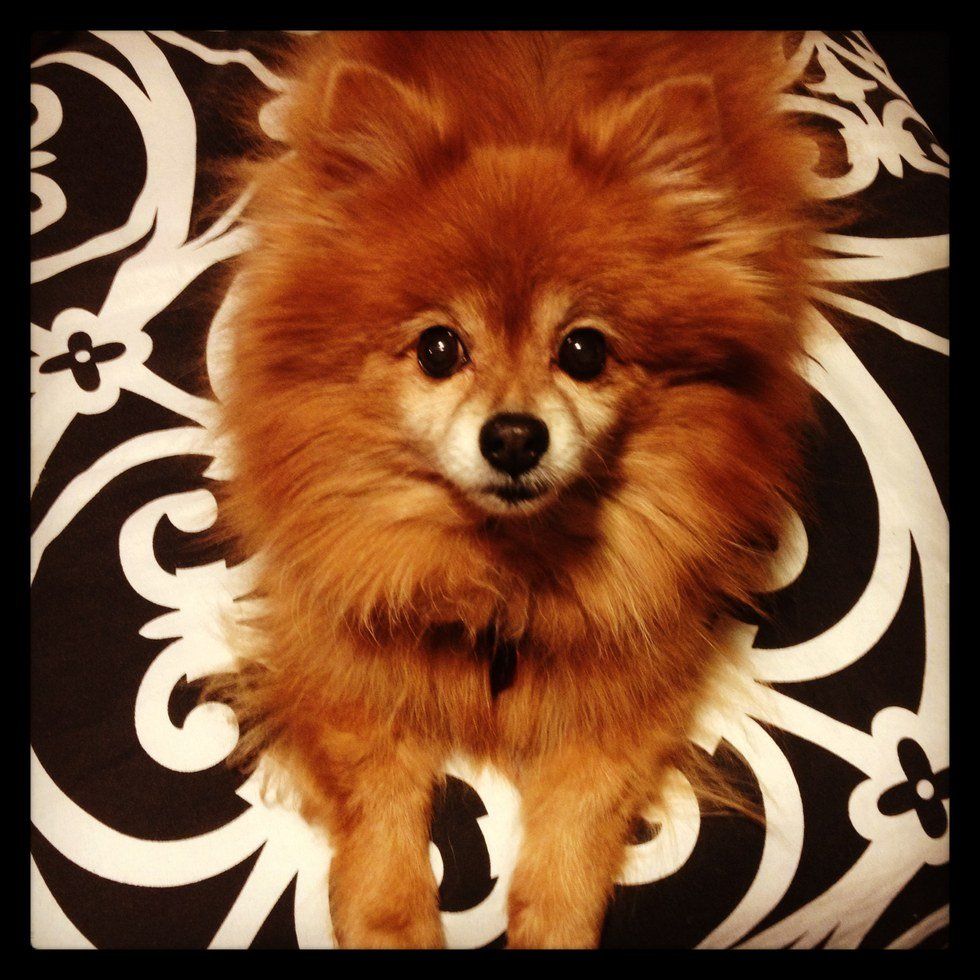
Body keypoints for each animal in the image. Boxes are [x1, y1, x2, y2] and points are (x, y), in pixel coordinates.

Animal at [213, 31, 824, 948]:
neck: (503, 577)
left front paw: (553, 924)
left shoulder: (629, 692)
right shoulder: (342, 665)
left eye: (583, 351)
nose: (512, 436)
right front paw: (390, 923)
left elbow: (575, 828)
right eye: (438, 348)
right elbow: (381, 817)